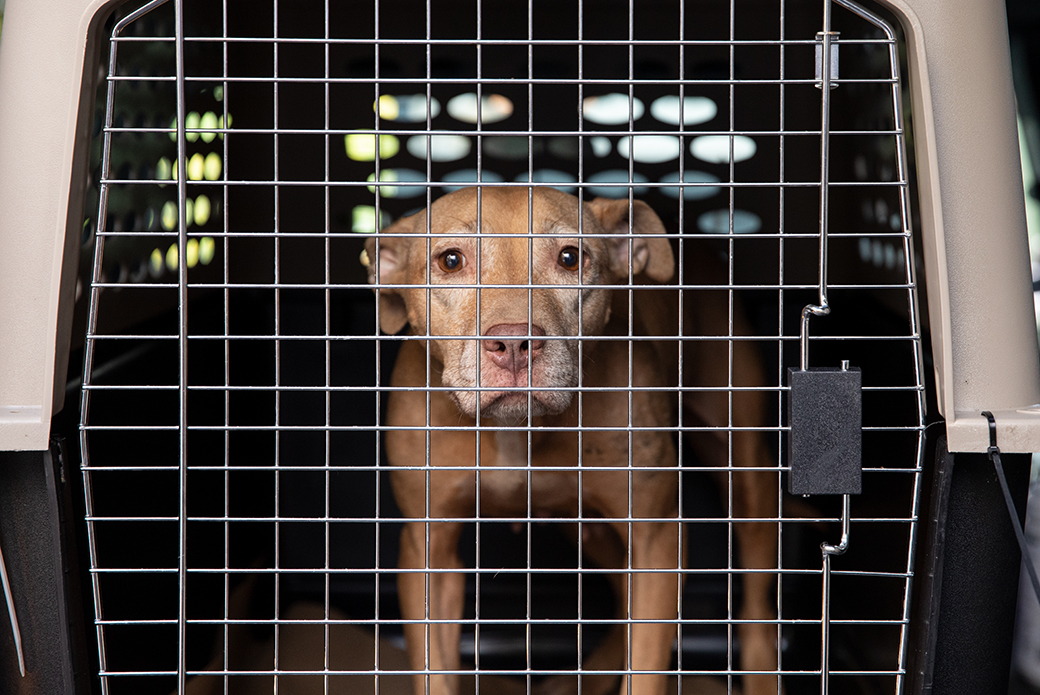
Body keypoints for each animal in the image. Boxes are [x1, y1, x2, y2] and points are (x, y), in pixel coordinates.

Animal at [366, 187, 782, 695]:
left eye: (569, 257)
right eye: (450, 261)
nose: (514, 344)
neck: (519, 428)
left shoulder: (657, 535)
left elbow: (647, 665)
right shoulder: (430, 551)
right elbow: (436, 670)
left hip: (747, 471)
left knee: (756, 608)